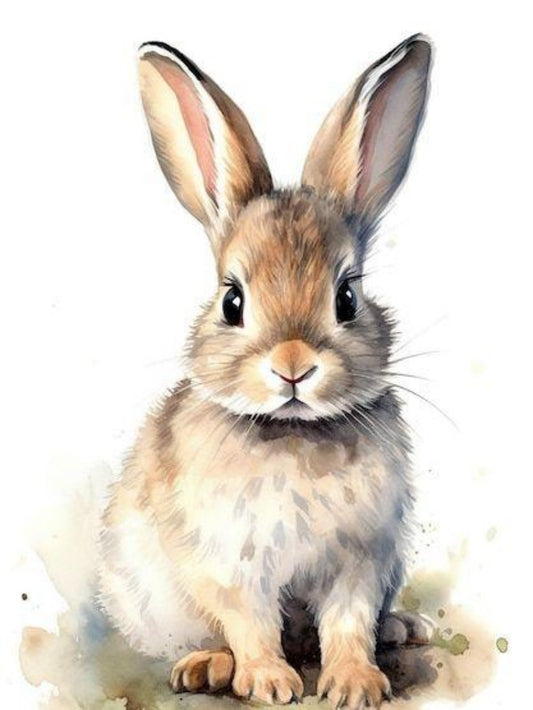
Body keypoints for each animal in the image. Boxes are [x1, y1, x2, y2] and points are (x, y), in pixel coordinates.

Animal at [98, 34, 432, 710]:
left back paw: (403, 627)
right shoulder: (232, 562)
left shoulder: (361, 561)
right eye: (233, 301)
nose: (293, 366)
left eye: (347, 298)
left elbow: (348, 622)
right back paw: (208, 666)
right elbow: (249, 621)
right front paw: (271, 682)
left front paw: (355, 684)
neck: (295, 434)